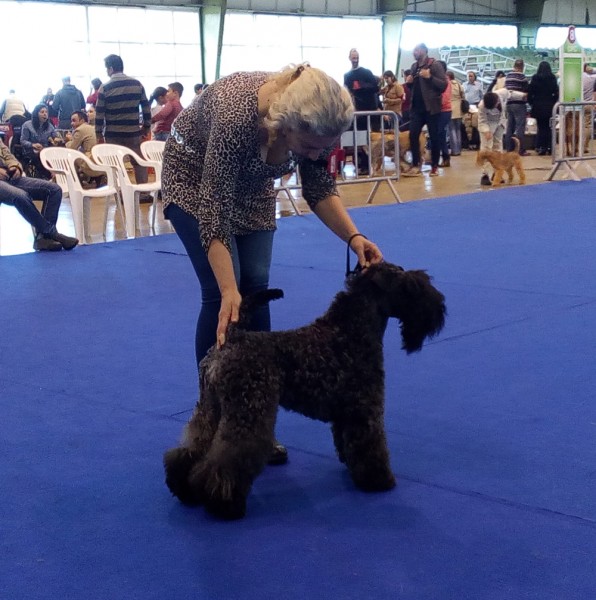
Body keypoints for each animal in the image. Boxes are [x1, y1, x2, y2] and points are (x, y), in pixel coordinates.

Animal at [165, 262, 444, 520]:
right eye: (411, 286)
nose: (440, 307)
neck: (349, 332)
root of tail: (230, 340)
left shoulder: (346, 411)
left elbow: (346, 440)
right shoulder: (366, 409)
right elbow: (371, 444)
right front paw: (378, 479)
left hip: (211, 408)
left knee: (191, 449)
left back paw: (184, 489)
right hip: (247, 413)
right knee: (226, 459)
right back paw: (225, 504)